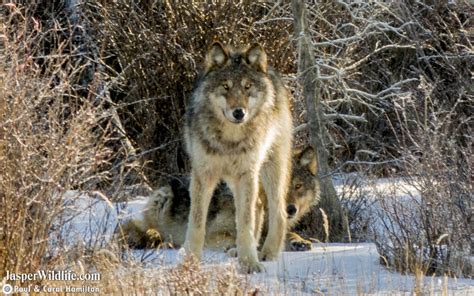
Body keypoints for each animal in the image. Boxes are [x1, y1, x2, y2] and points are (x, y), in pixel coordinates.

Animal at [182, 41, 290, 272]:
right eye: (226, 86)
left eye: (247, 87)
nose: (239, 112)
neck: (230, 139)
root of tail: (270, 72)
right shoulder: (203, 175)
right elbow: (196, 224)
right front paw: (189, 264)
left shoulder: (246, 173)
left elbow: (244, 223)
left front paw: (249, 263)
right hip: (235, 179)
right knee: (258, 204)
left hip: (269, 169)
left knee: (279, 210)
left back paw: (267, 252)